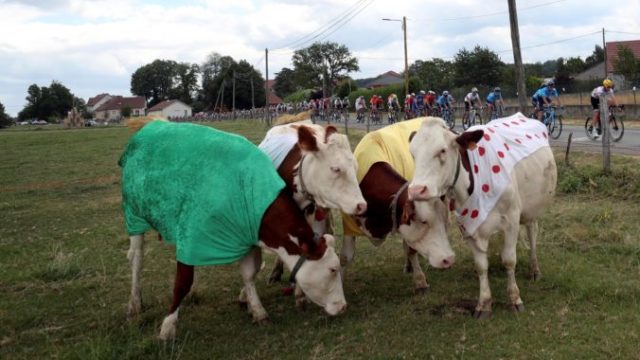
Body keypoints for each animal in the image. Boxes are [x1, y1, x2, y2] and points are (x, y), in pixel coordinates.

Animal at [122, 119, 348, 340]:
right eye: (332, 269)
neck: (247, 189)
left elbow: (249, 273)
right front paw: (168, 327)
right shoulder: (190, 235)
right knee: (136, 258)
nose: (343, 307)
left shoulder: (247, 235)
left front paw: (257, 311)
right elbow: (183, 282)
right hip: (134, 214)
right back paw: (135, 302)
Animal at [340, 118, 456, 292]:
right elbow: (345, 257)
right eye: (424, 221)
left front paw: (420, 280)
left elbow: (411, 248)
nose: (448, 259)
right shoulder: (349, 223)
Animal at [410, 113, 556, 318]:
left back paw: (534, 270)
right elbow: (481, 266)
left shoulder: (511, 220)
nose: (416, 190)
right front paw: (484, 304)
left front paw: (515, 299)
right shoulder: (468, 227)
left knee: (532, 234)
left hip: (531, 209)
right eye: (412, 153)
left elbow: (509, 260)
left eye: (442, 150)